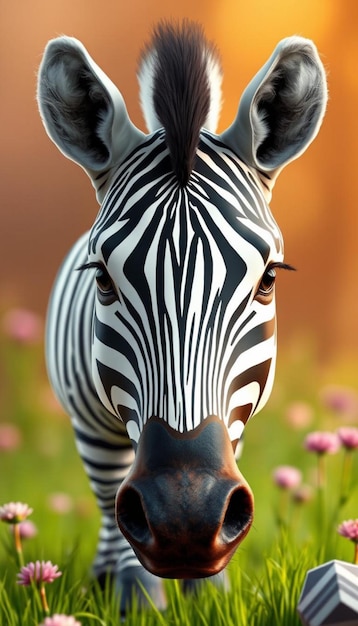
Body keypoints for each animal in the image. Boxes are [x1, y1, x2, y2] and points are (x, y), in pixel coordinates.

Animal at [37, 20, 328, 616]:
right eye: (102, 278)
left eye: (269, 279)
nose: (186, 521)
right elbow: (117, 508)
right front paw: (137, 603)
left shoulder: (234, 426)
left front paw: (209, 598)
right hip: (93, 428)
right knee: (109, 500)